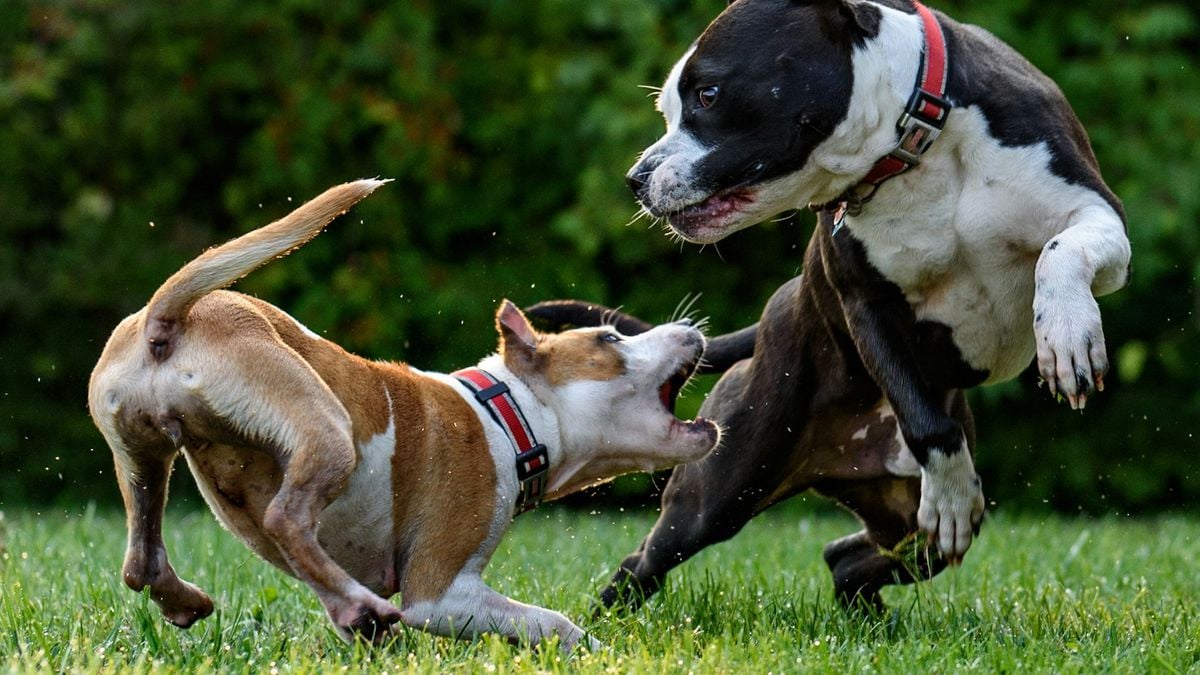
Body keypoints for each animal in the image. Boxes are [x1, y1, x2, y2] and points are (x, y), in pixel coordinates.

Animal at [91, 178, 720, 648]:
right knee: (285, 517)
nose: (691, 328)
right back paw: (357, 604)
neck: (507, 412)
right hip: (325, 427)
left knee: (141, 560)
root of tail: (167, 319)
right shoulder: (441, 593)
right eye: (610, 338)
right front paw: (593, 651)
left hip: (142, 455)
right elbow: (553, 623)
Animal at [530, 0, 1128, 610]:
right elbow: (925, 422)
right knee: (649, 559)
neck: (914, 147)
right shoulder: (865, 304)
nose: (636, 178)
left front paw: (1067, 334)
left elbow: (1060, 250)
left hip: (903, 523)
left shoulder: (1097, 214)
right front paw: (952, 493)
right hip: (721, 488)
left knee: (849, 557)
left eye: (708, 95)